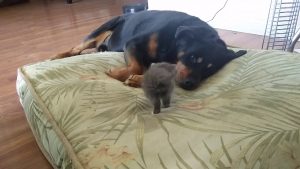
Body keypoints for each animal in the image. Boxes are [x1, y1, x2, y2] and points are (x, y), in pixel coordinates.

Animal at [52, 9, 246, 90]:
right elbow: (138, 66)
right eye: (194, 58)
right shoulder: (132, 44)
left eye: (209, 70)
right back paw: (56, 56)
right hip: (103, 27)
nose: (190, 84)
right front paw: (118, 74)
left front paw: (138, 80)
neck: (174, 41)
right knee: (76, 48)